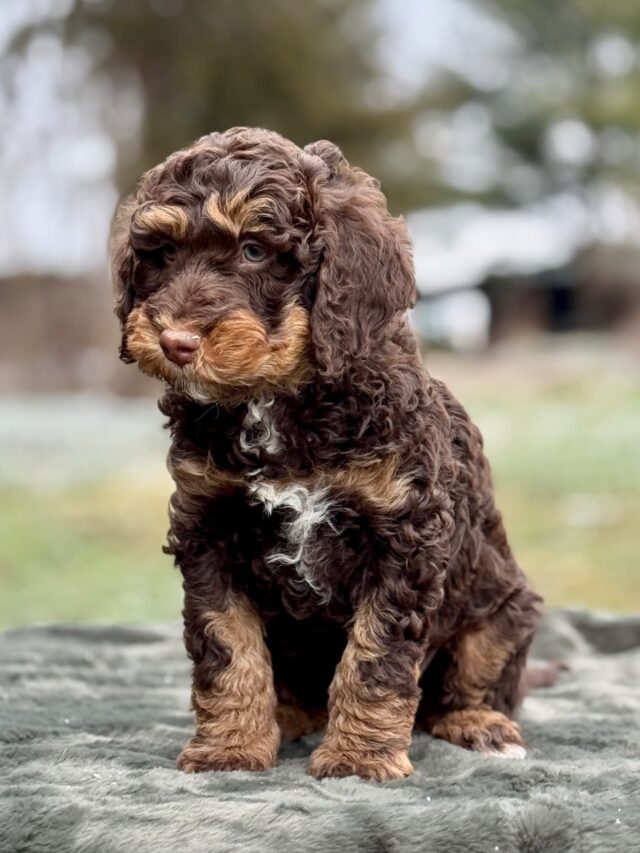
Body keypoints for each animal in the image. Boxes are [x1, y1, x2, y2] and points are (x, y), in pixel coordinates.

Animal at [109, 125, 540, 780]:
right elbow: (228, 647)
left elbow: (375, 656)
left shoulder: (404, 537)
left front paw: (359, 758)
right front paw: (230, 747)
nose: (175, 342)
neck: (280, 401)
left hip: (502, 609)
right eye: (162, 254)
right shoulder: (208, 529)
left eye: (255, 251)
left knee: (472, 681)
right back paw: (287, 717)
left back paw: (478, 723)